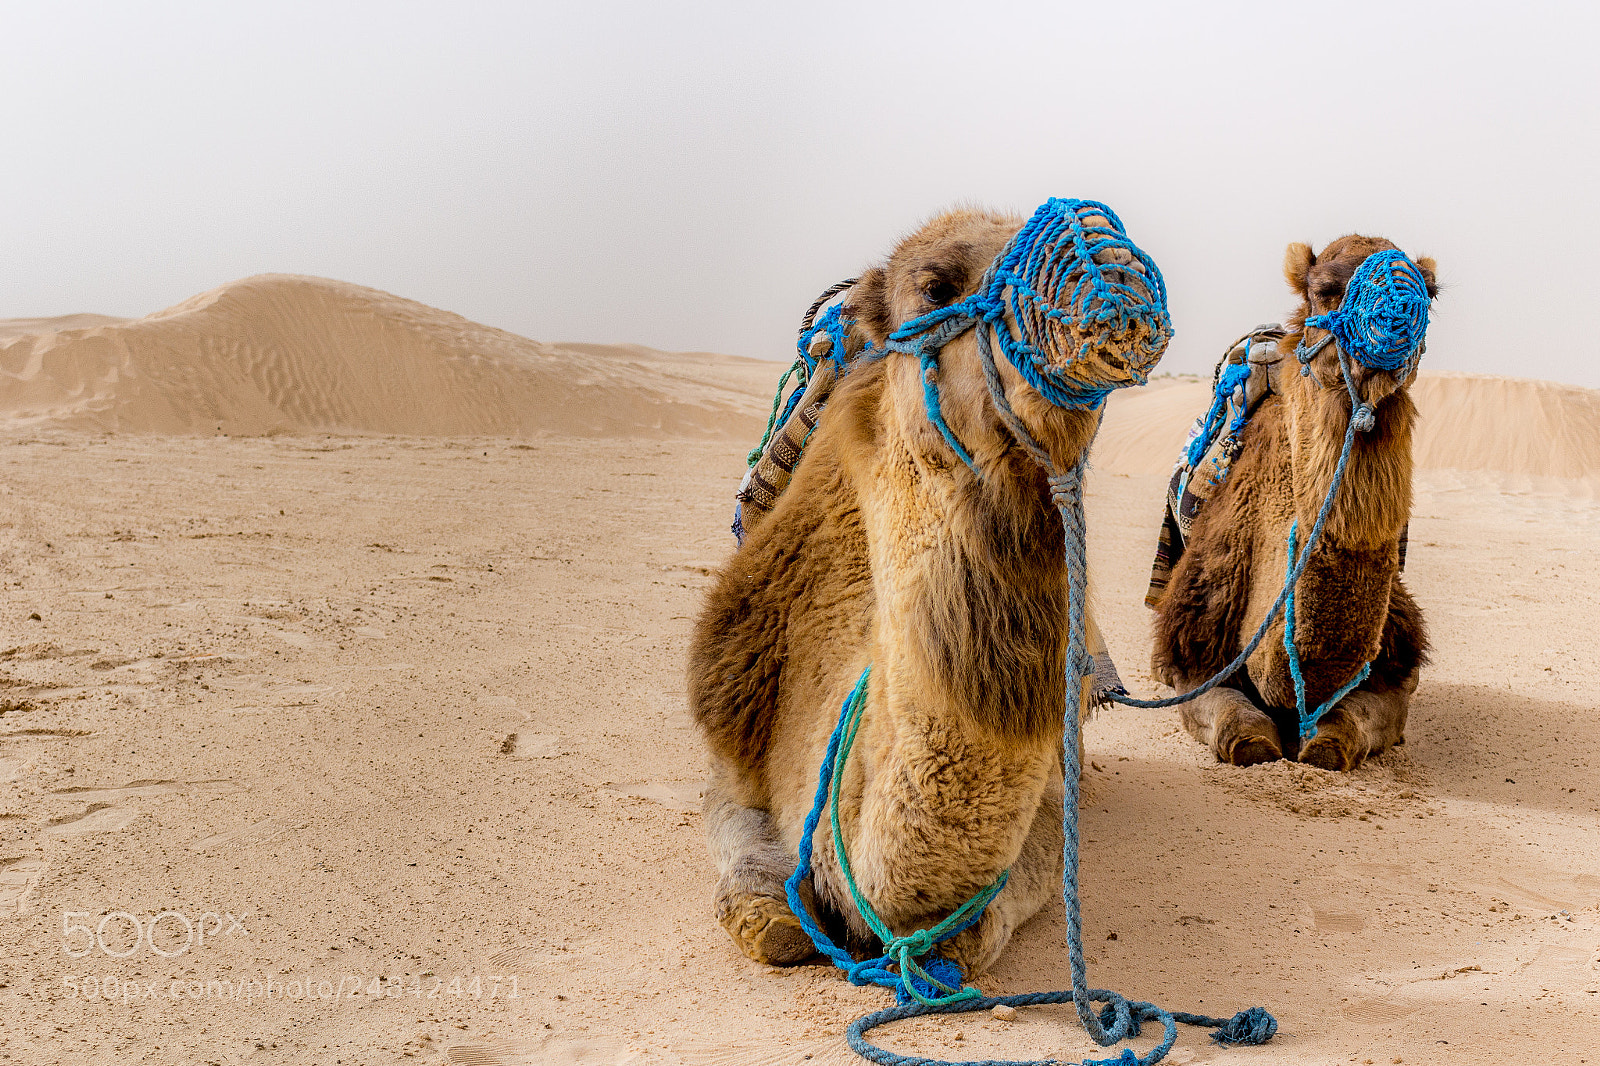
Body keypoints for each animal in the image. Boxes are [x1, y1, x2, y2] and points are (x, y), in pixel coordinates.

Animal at [688, 203, 1169, 980]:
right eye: (936, 285)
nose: (1111, 270)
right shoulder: (735, 733)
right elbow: (759, 889)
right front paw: (776, 913)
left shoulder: (1049, 788)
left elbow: (982, 922)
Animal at [1149, 236, 1437, 770]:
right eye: (1324, 289)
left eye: (1429, 292)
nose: (1396, 313)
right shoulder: (1196, 649)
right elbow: (1242, 734)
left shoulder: (1398, 668)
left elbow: (1342, 735)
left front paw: (1323, 741)